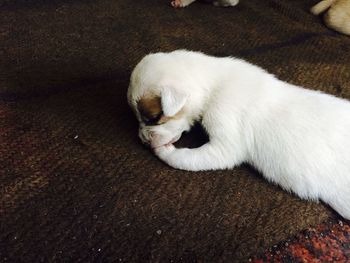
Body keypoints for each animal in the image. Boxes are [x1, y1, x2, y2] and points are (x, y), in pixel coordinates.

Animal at [128, 50, 350, 221]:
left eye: (153, 118)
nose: (143, 140)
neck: (213, 81)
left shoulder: (224, 142)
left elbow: (186, 158)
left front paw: (164, 151)